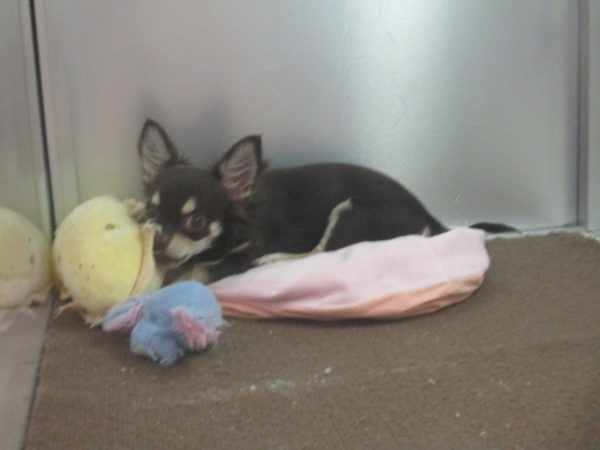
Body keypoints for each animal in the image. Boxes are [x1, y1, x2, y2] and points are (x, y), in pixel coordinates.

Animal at [136, 119, 514, 283]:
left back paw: (275, 260)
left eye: (196, 221)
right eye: (151, 211)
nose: (158, 244)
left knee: (320, 253)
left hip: (350, 212)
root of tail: (427, 215)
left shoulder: (242, 257)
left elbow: (199, 268)